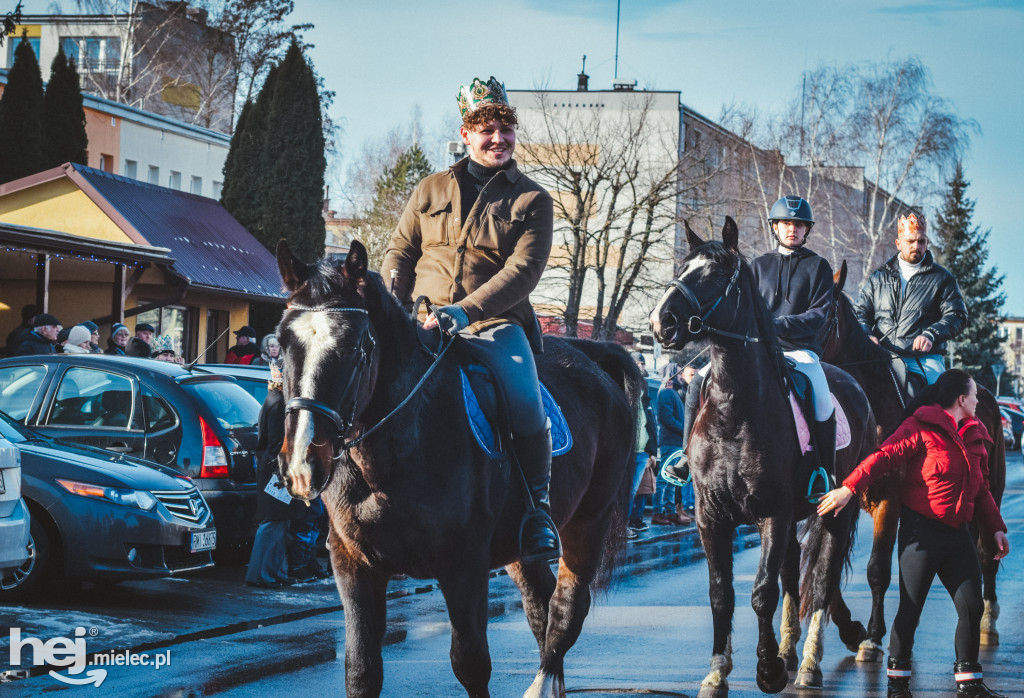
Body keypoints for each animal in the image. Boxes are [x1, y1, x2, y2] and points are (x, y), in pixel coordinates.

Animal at [272, 240, 638, 695]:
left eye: (357, 347)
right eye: (281, 342)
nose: (302, 463)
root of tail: (593, 358)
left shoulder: (463, 565)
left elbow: (470, 662)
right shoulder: (352, 564)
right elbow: (361, 669)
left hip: (588, 522)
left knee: (566, 606)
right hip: (520, 548)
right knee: (541, 603)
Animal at [651, 215, 876, 691]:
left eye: (716, 274)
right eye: (683, 266)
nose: (661, 322)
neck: (735, 409)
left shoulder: (773, 512)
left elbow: (761, 592)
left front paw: (767, 668)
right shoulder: (711, 517)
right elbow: (722, 593)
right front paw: (719, 670)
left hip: (837, 509)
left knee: (822, 580)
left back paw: (808, 662)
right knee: (794, 573)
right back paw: (793, 652)